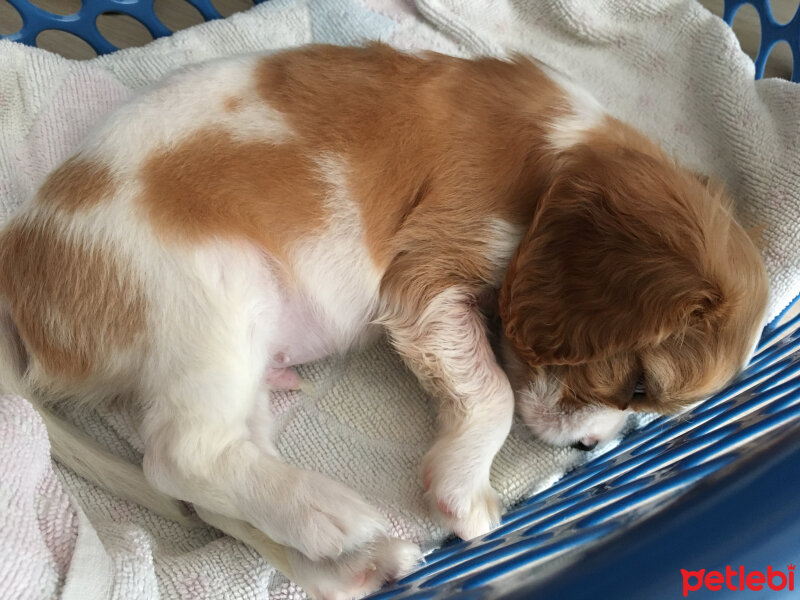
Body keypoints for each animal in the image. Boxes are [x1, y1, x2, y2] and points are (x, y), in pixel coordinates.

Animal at [0, 44, 764, 596]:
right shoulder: (426, 273)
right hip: (210, 295)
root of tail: (19, 263)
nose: (591, 447)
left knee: (200, 490)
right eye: (637, 388)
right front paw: (465, 491)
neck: (564, 148)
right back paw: (334, 514)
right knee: (183, 455)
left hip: (221, 367)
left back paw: (352, 562)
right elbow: (491, 394)